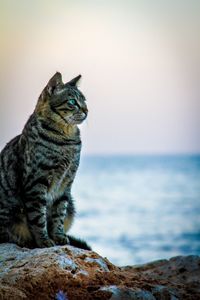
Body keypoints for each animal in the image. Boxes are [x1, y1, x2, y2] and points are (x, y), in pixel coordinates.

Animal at [0, 71, 90, 250]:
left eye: (85, 100)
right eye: (72, 102)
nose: (86, 110)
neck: (67, 138)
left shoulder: (65, 185)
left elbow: (59, 214)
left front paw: (58, 235)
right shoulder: (36, 182)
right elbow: (38, 217)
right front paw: (43, 240)